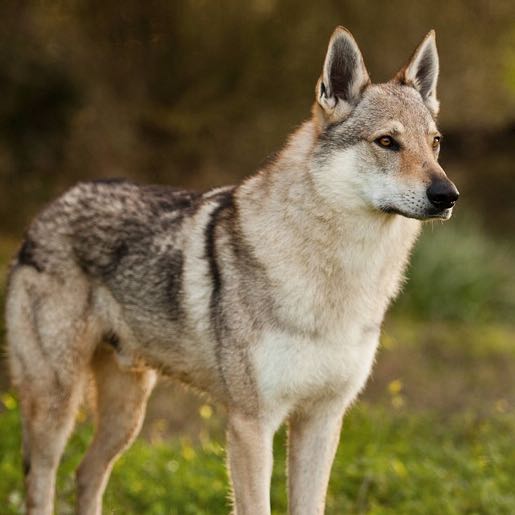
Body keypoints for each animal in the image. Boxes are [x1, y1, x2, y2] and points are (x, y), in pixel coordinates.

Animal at [6, 28, 460, 515]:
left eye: (434, 143)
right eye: (387, 142)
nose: (447, 195)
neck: (341, 278)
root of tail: (50, 208)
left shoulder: (322, 420)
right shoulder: (251, 424)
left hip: (127, 414)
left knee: (86, 474)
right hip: (56, 406)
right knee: (43, 485)